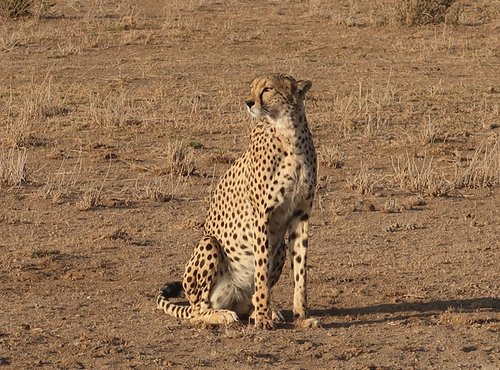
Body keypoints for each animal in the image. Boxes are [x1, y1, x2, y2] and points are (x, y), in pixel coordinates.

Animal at [157, 73, 316, 330]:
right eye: (252, 88)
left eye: (267, 89)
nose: (248, 102)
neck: (287, 131)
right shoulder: (261, 216)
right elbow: (261, 271)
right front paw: (262, 318)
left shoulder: (301, 215)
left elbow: (300, 270)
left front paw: (301, 316)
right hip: (209, 243)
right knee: (196, 311)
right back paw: (223, 315)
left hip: (280, 248)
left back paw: (261, 312)